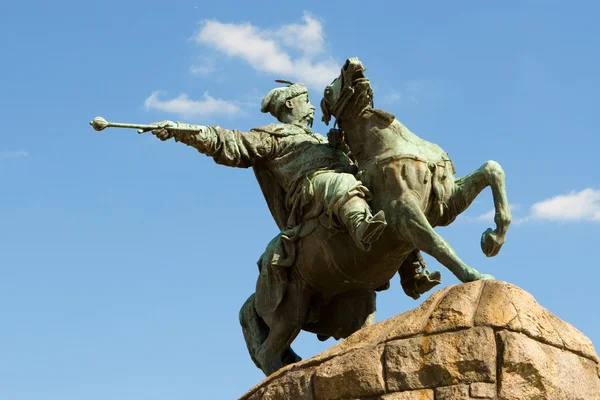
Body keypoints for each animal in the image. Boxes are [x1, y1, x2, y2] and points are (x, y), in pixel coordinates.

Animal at [240, 57, 510, 376]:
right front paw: (475, 275)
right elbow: (439, 244)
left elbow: (493, 169)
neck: (388, 143)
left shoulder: (444, 203)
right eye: (328, 89)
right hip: (290, 312)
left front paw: (493, 238)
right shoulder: (405, 213)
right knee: (267, 354)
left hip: (356, 300)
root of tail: (254, 294)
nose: (351, 63)